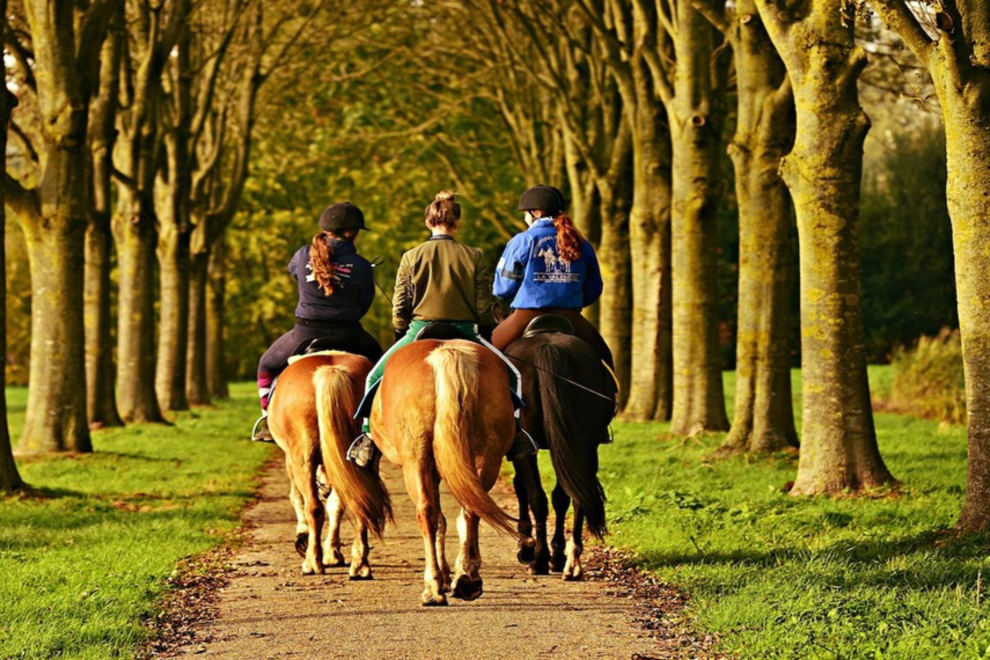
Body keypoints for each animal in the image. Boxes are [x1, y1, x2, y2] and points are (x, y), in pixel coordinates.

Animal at [272, 350, 400, 576]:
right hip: (360, 459)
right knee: (360, 501)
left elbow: (296, 497)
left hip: (301, 457)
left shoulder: (290, 459)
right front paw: (333, 553)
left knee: (313, 507)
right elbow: (336, 505)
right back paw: (360, 564)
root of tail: (330, 370)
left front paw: (304, 538)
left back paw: (312, 562)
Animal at [328, 338, 524, 604]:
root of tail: (447, 352)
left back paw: (432, 587)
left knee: (426, 512)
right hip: (487, 457)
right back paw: (467, 578)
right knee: (470, 510)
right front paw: (449, 575)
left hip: (415, 460)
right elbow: (445, 519)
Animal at [508, 322, 616, 580]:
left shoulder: (522, 450)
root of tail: (548, 347)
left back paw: (539, 559)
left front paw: (527, 547)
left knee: (538, 498)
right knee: (576, 495)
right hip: (583, 444)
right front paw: (555, 555)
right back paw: (570, 561)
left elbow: (523, 489)